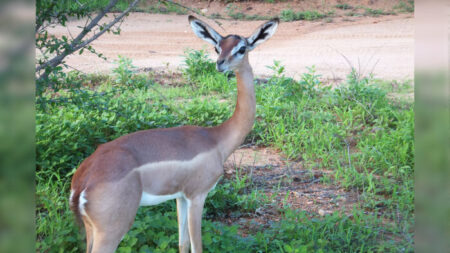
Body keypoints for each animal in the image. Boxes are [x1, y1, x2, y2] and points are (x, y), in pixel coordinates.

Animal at [70, 14, 278, 252]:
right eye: (217, 47)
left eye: (241, 48)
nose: (220, 63)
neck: (216, 139)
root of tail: (83, 180)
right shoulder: (197, 196)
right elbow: (197, 246)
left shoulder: (180, 198)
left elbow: (182, 243)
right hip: (112, 231)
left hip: (90, 230)